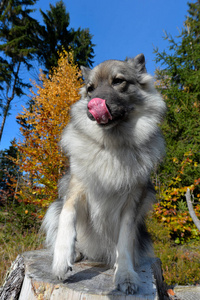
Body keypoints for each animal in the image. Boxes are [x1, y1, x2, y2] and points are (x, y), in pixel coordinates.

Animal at [42, 52, 166, 294]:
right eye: (90, 88)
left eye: (118, 81)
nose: (92, 106)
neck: (112, 147)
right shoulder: (75, 191)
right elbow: (67, 219)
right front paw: (61, 260)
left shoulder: (132, 204)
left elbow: (124, 242)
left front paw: (125, 274)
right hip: (53, 207)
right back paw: (77, 253)